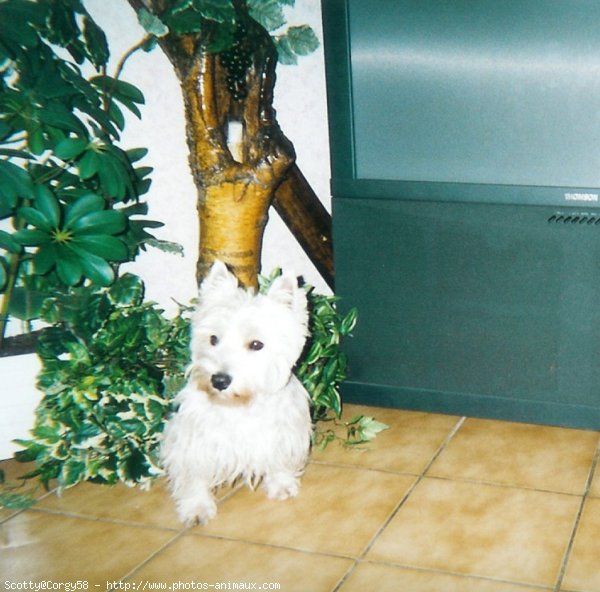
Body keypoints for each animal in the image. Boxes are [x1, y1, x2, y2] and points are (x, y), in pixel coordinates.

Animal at [162, 262, 312, 524]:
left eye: (256, 344)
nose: (219, 380)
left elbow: (280, 458)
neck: (240, 405)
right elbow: (193, 475)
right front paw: (196, 507)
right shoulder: (193, 443)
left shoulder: (283, 432)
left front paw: (282, 484)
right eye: (213, 339)